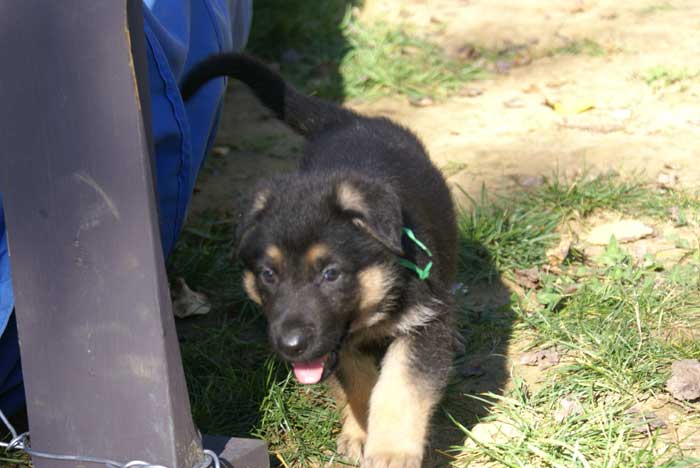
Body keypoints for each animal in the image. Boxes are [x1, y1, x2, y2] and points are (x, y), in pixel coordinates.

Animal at [182, 54, 460, 464]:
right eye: (268, 274)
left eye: (331, 274)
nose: (291, 346)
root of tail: (347, 120)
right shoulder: (336, 342)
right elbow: (358, 381)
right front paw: (360, 433)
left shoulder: (425, 323)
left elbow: (399, 388)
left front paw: (390, 452)